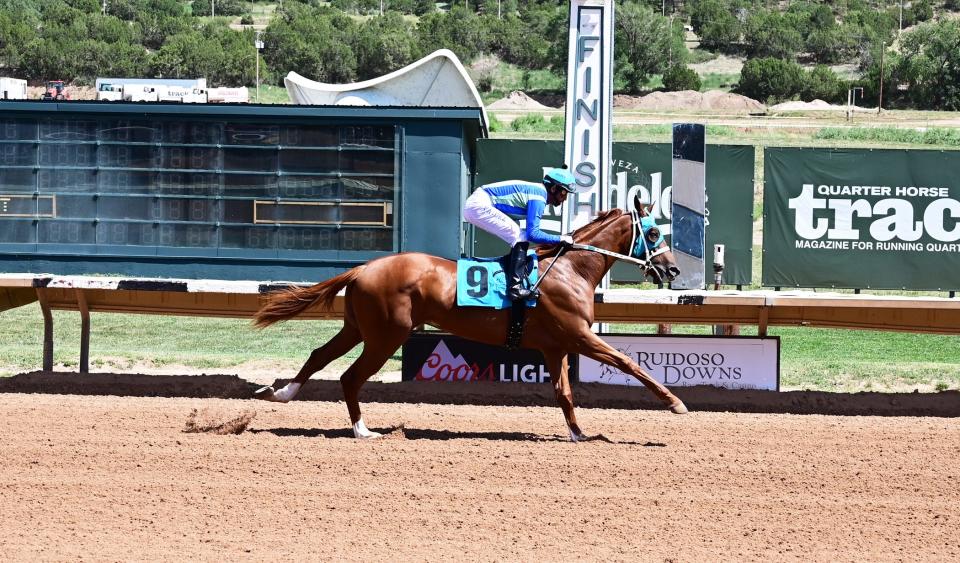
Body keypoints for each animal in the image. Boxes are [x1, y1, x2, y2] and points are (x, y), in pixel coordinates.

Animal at [253, 198, 688, 440]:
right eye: (653, 233)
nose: (672, 270)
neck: (570, 268)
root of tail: (362, 269)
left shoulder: (556, 347)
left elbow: (564, 393)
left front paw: (578, 434)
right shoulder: (580, 336)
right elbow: (629, 362)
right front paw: (675, 403)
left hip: (359, 327)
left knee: (319, 356)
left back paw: (281, 393)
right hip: (387, 335)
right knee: (350, 376)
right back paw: (362, 430)